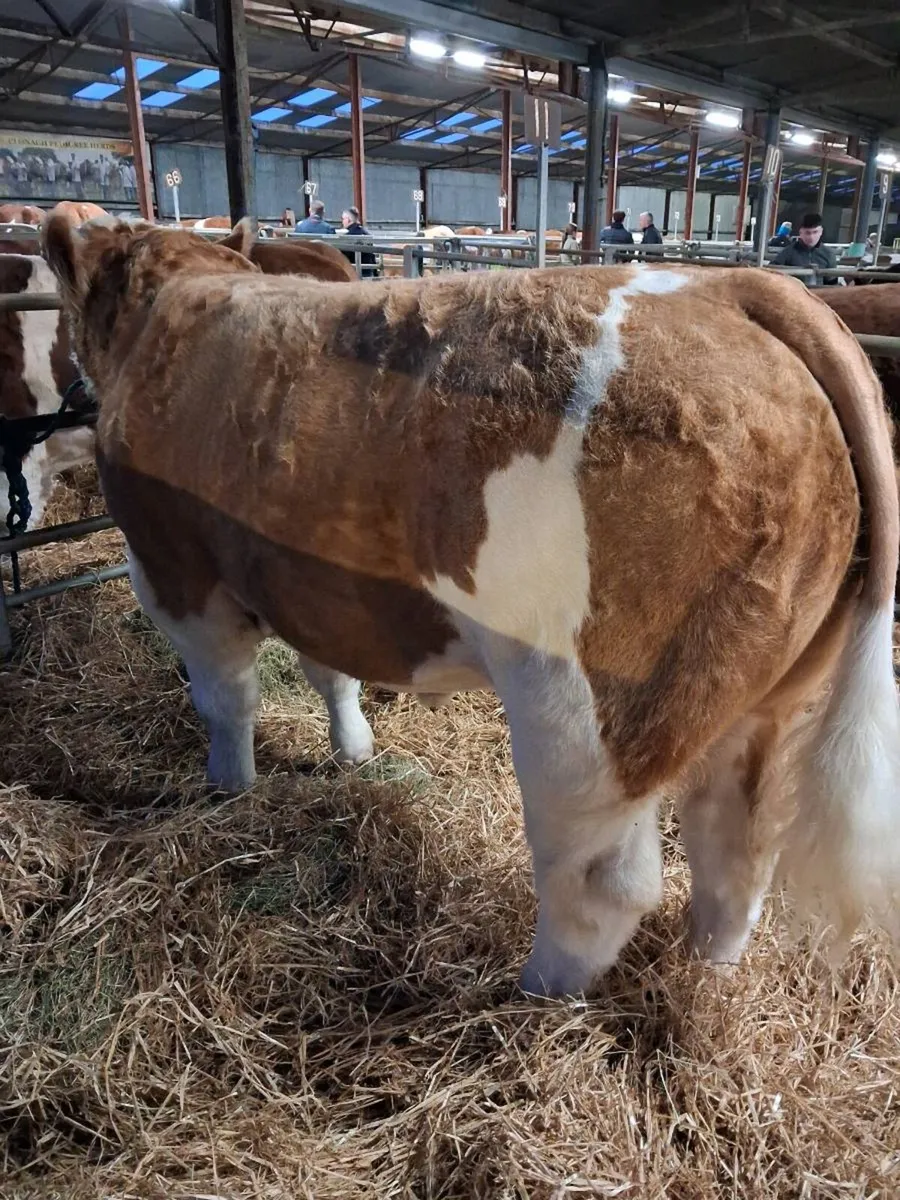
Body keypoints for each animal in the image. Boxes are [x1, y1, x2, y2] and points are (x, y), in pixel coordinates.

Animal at [44, 214, 900, 999]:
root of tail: (731, 289)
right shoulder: (309, 579)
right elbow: (330, 673)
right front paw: (352, 750)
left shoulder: (175, 571)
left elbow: (226, 699)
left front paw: (229, 788)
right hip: (772, 696)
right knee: (738, 846)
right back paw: (705, 976)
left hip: (580, 706)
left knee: (600, 880)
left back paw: (535, 997)